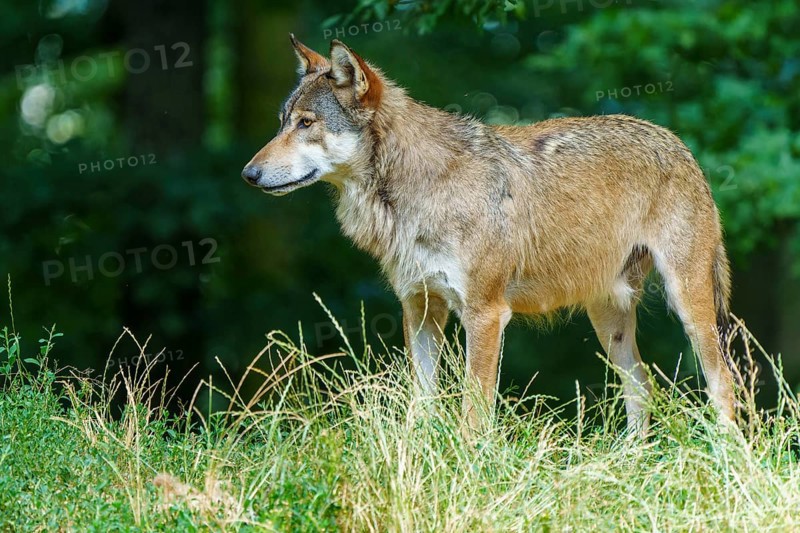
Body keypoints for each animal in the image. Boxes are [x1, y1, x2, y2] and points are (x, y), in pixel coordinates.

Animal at [242, 35, 735, 433]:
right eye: (282, 121)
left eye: (306, 123)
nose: (249, 174)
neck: (416, 193)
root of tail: (677, 142)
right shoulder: (420, 308)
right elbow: (421, 406)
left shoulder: (485, 314)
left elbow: (472, 413)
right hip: (607, 317)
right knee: (642, 386)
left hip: (689, 304)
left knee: (722, 382)